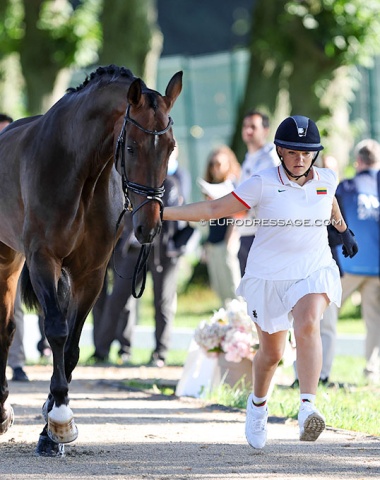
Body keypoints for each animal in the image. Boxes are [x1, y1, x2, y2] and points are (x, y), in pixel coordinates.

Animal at [0, 63, 183, 454]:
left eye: (171, 147)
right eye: (130, 146)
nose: (148, 226)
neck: (79, 169)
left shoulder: (91, 274)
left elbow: (71, 347)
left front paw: (51, 424)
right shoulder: (44, 259)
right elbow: (56, 331)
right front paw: (59, 418)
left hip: (15, 259)